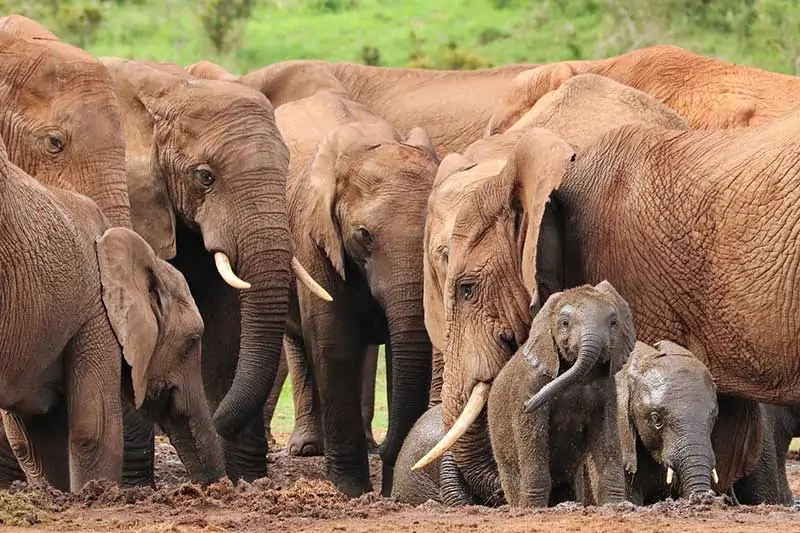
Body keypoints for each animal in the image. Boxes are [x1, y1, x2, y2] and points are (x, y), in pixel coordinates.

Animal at [101, 57, 332, 482]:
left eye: (286, 172)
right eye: (205, 177)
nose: (218, 421)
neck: (169, 89)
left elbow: (227, 324)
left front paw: (245, 478)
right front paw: (133, 485)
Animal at [276, 90, 438, 494]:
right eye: (363, 235)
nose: (388, 451)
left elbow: (401, 351)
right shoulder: (312, 236)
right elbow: (332, 342)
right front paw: (351, 491)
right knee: (298, 341)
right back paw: (307, 448)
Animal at [484, 280, 636, 504]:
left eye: (613, 323)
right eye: (564, 323)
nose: (527, 405)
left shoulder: (607, 392)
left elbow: (607, 439)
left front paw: (615, 505)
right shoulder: (529, 384)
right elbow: (533, 441)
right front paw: (533, 508)